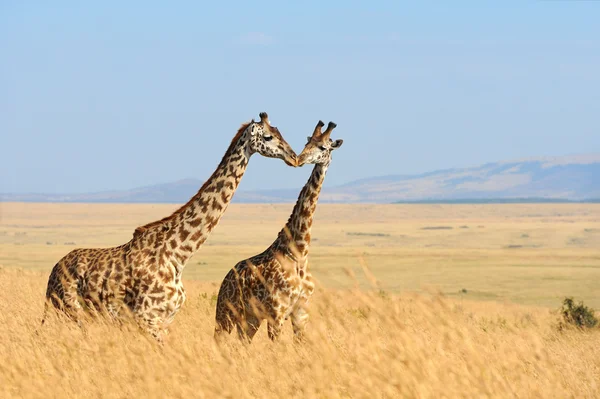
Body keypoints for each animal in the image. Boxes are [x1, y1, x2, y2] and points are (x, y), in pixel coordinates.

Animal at [41, 113, 298, 344]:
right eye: (268, 136)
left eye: (280, 132)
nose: (293, 156)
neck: (178, 253)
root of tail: (53, 272)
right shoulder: (146, 318)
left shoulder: (165, 319)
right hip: (72, 312)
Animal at [214, 119, 342, 344]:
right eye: (308, 141)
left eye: (323, 147)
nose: (300, 159)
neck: (299, 251)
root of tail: (226, 277)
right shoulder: (277, 312)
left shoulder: (301, 313)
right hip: (225, 313)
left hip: (249, 319)